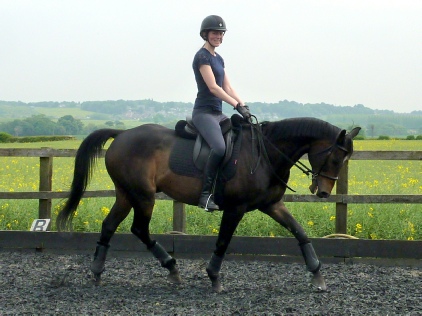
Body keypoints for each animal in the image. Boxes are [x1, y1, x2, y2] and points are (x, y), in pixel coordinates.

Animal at [55, 115, 360, 292]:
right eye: (336, 158)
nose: (323, 192)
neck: (266, 153)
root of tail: (122, 134)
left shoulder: (272, 205)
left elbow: (300, 232)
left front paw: (317, 274)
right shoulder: (236, 208)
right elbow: (223, 241)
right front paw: (214, 276)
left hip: (126, 194)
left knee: (109, 226)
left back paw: (98, 272)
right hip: (142, 196)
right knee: (139, 229)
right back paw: (171, 267)